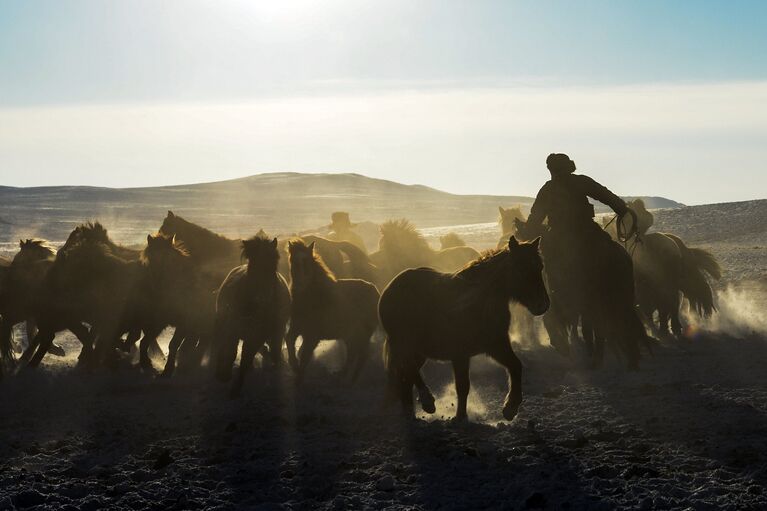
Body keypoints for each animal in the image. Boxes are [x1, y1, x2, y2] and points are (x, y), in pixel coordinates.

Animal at [214, 236, 290, 396]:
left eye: (274, 262)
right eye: (252, 262)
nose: (263, 297)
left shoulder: (257, 334)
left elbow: (246, 357)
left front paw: (236, 387)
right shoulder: (232, 328)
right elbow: (230, 350)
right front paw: (223, 375)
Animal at [284, 242, 380, 382]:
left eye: (307, 261)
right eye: (292, 260)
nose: (299, 286)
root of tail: (376, 292)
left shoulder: (312, 335)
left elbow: (305, 357)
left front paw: (299, 377)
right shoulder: (297, 328)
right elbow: (289, 340)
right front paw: (294, 366)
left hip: (362, 333)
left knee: (361, 354)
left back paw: (351, 379)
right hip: (350, 334)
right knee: (353, 353)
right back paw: (343, 374)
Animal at [380, 238, 548, 422]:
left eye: (540, 267)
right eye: (520, 268)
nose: (543, 305)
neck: (477, 302)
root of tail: (390, 287)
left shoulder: (495, 345)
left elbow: (515, 366)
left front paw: (509, 408)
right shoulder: (460, 354)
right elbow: (462, 386)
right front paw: (462, 416)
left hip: (419, 352)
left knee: (407, 377)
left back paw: (412, 411)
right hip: (405, 345)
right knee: (409, 370)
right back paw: (427, 401)